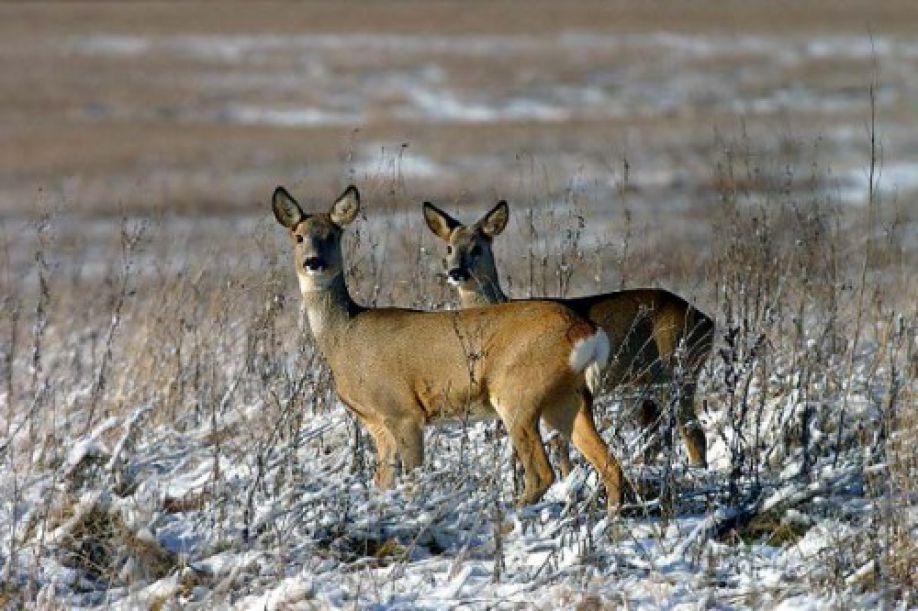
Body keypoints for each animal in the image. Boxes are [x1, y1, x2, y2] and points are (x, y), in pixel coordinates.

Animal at [274, 184, 628, 510]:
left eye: (332, 235)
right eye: (298, 237)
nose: (313, 262)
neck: (345, 337)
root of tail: (587, 331)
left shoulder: (403, 410)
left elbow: (413, 480)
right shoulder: (377, 423)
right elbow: (383, 484)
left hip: (518, 392)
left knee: (542, 473)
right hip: (567, 399)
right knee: (610, 465)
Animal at [424, 201, 720, 468]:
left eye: (477, 248)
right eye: (449, 247)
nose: (456, 272)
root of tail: (708, 322)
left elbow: (558, 444)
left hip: (678, 369)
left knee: (692, 431)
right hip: (648, 385)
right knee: (657, 436)